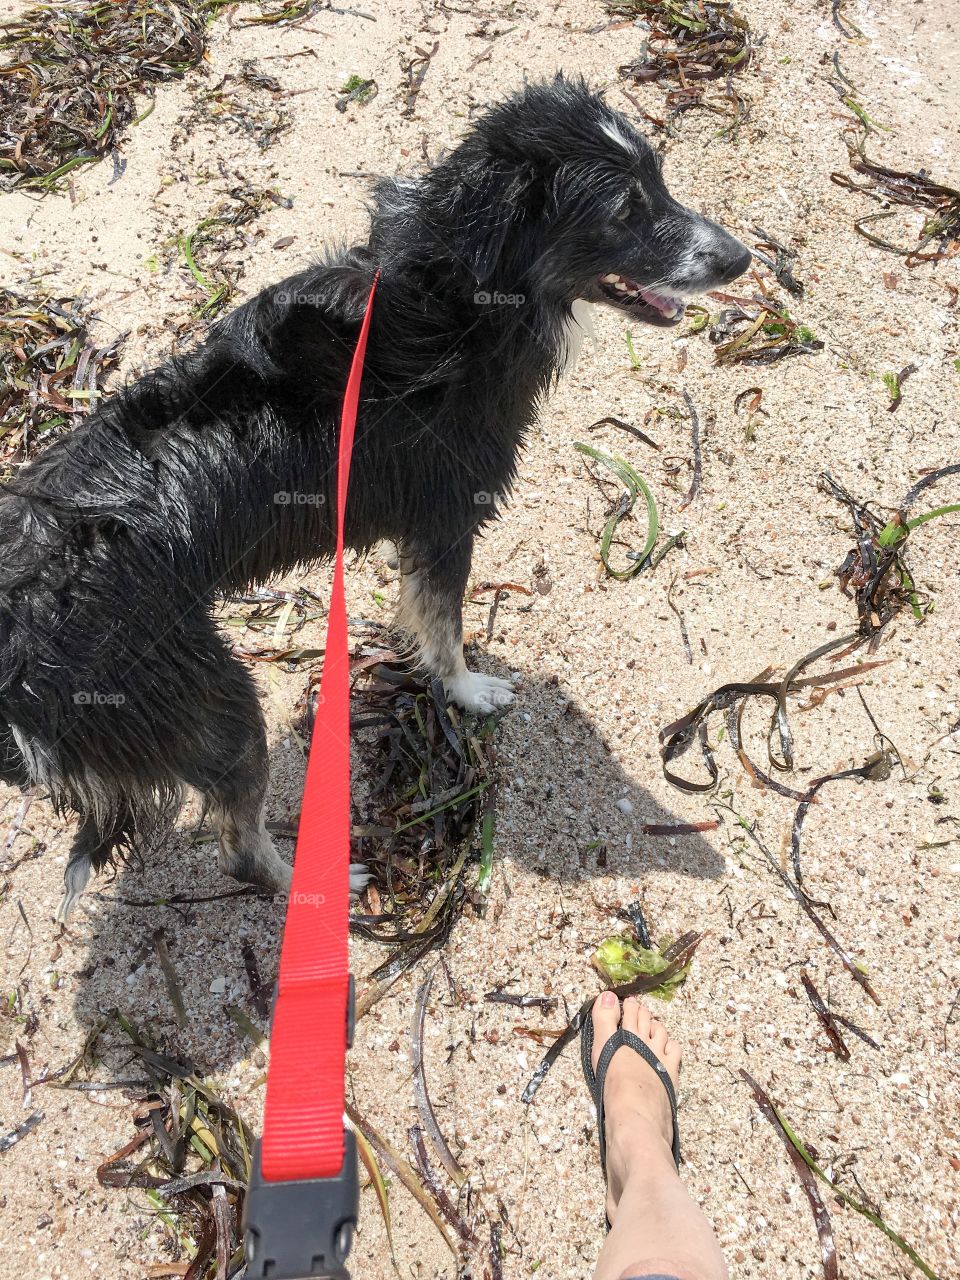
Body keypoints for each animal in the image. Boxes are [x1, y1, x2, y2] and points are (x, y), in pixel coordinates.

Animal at [0, 74, 752, 916]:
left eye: (662, 178)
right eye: (625, 210)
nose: (744, 259)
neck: (461, 299)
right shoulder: (445, 517)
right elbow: (444, 628)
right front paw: (469, 691)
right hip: (211, 700)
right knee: (238, 845)